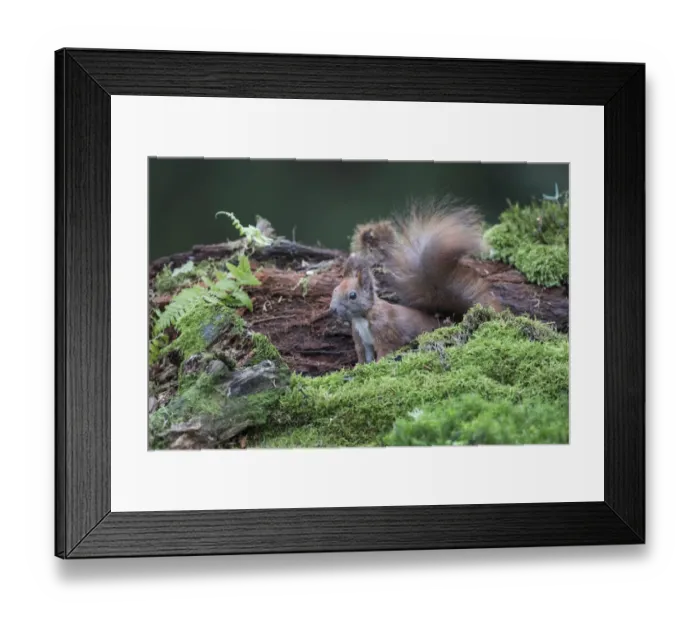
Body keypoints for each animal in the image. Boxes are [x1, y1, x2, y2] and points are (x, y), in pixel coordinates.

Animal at [330, 197, 502, 363]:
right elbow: (364, 356)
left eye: (353, 295)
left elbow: (384, 353)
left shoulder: (385, 332)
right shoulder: (361, 340)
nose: (332, 309)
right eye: (334, 290)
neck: (361, 318)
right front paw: (359, 368)